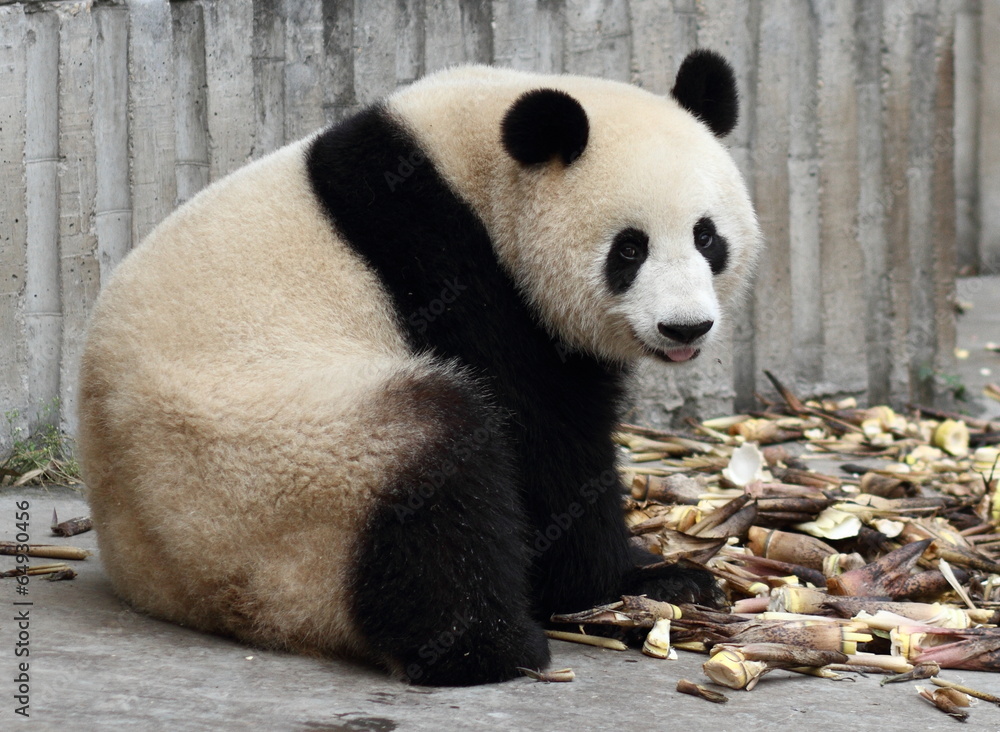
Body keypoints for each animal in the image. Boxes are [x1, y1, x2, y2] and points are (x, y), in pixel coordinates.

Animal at [78, 49, 760, 686]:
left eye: (706, 237)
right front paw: (633, 580)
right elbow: (542, 447)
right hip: (264, 467)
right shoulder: (451, 272)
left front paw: (673, 576)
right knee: (434, 466)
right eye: (629, 249)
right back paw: (488, 647)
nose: (685, 327)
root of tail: (163, 580)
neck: (475, 170)